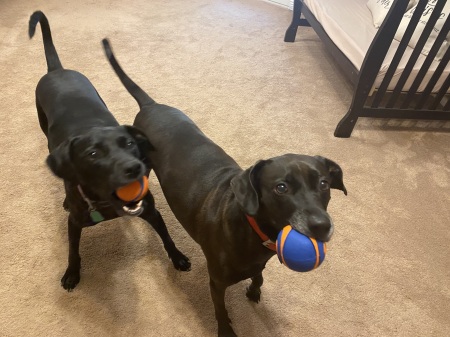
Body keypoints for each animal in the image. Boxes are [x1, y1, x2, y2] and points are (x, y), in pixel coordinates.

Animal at [28, 11, 190, 290]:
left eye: (130, 144)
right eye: (93, 154)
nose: (135, 169)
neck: (103, 201)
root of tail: (57, 70)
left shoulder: (150, 210)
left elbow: (167, 237)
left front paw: (178, 258)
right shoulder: (74, 223)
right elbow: (73, 251)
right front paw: (72, 273)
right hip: (44, 128)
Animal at [103, 38, 348, 334]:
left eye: (324, 184)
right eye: (281, 188)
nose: (322, 226)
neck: (254, 230)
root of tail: (151, 105)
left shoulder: (258, 265)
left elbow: (259, 276)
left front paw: (254, 291)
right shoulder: (217, 282)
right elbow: (220, 310)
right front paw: (226, 329)